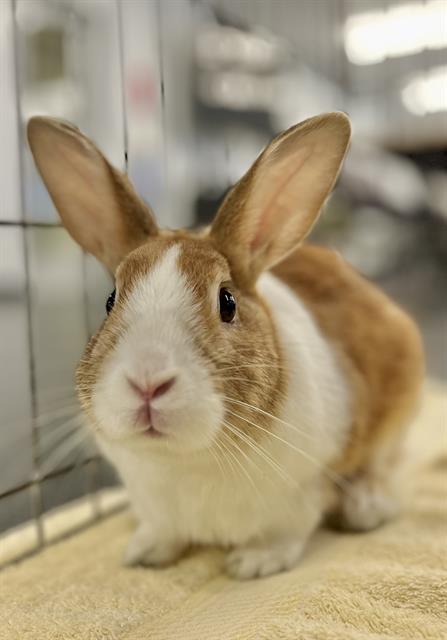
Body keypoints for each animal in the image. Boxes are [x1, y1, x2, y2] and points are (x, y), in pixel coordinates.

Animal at [27, 112, 424, 579]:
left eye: (227, 302)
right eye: (110, 301)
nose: (147, 383)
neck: (187, 459)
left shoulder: (303, 492)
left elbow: (287, 531)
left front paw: (254, 563)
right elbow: (161, 530)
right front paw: (144, 554)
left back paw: (365, 507)